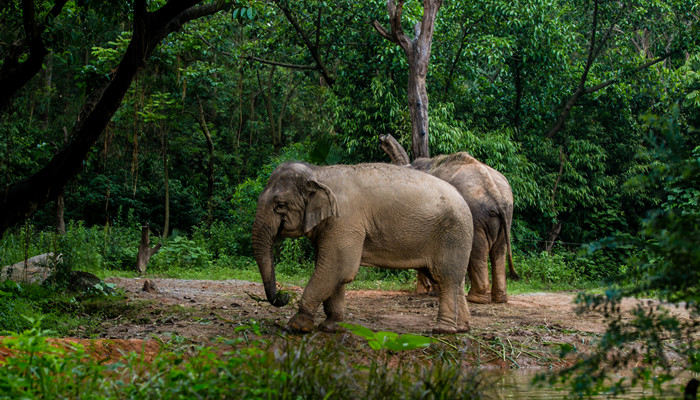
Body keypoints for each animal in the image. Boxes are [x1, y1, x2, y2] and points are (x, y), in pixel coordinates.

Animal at [252, 162, 476, 334]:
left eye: (280, 205)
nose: (283, 295)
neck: (318, 172)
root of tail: (463, 199)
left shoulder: (345, 221)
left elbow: (339, 268)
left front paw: (296, 326)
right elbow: (332, 271)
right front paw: (330, 327)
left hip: (452, 234)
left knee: (446, 278)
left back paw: (442, 330)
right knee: (455, 279)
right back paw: (461, 328)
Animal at [378, 134, 520, 304]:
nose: (382, 139)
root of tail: (495, 192)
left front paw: (433, 290)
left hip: (476, 214)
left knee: (478, 250)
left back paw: (475, 299)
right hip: (506, 214)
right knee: (499, 250)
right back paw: (499, 299)